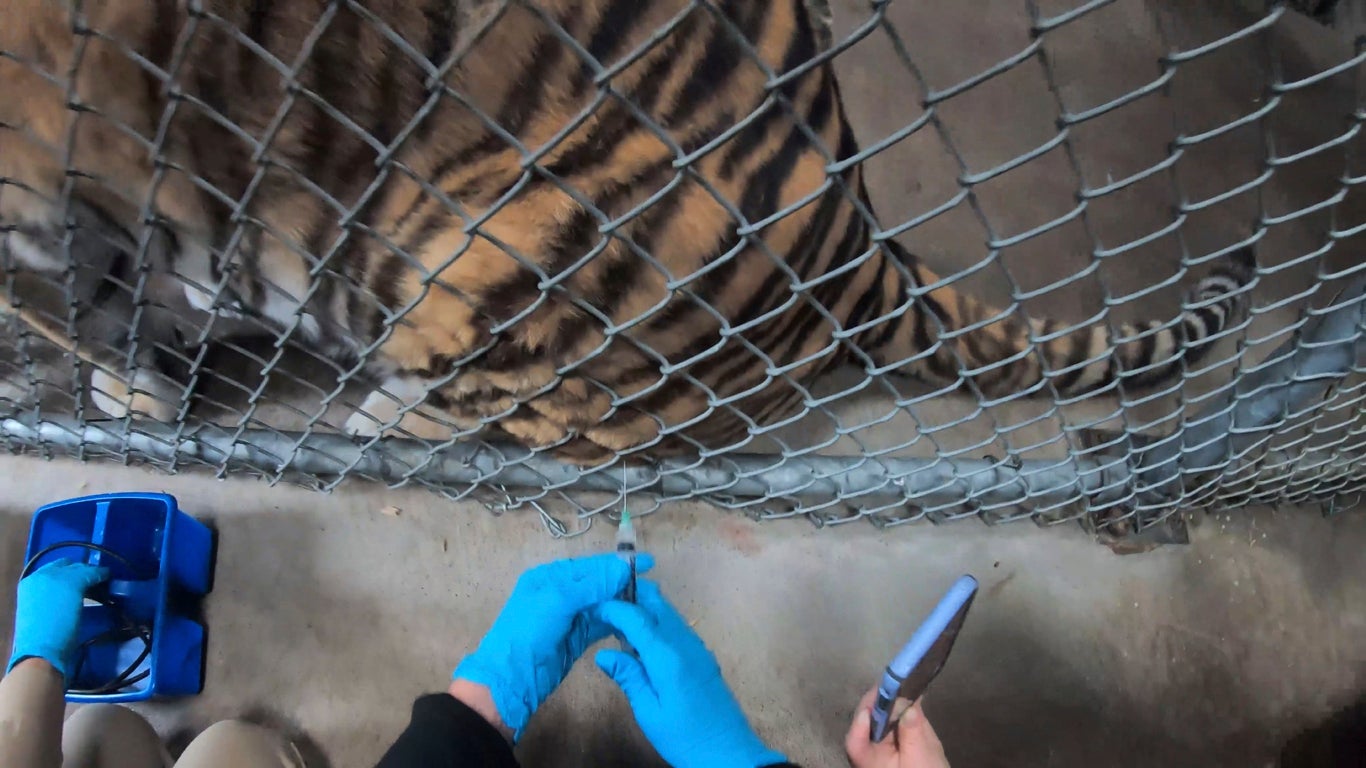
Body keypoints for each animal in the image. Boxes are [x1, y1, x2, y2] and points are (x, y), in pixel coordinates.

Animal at [0, 0, 1256, 464]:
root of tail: (856, 239)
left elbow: (101, 299)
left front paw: (127, 390)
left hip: (475, 252)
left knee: (488, 407)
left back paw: (374, 416)